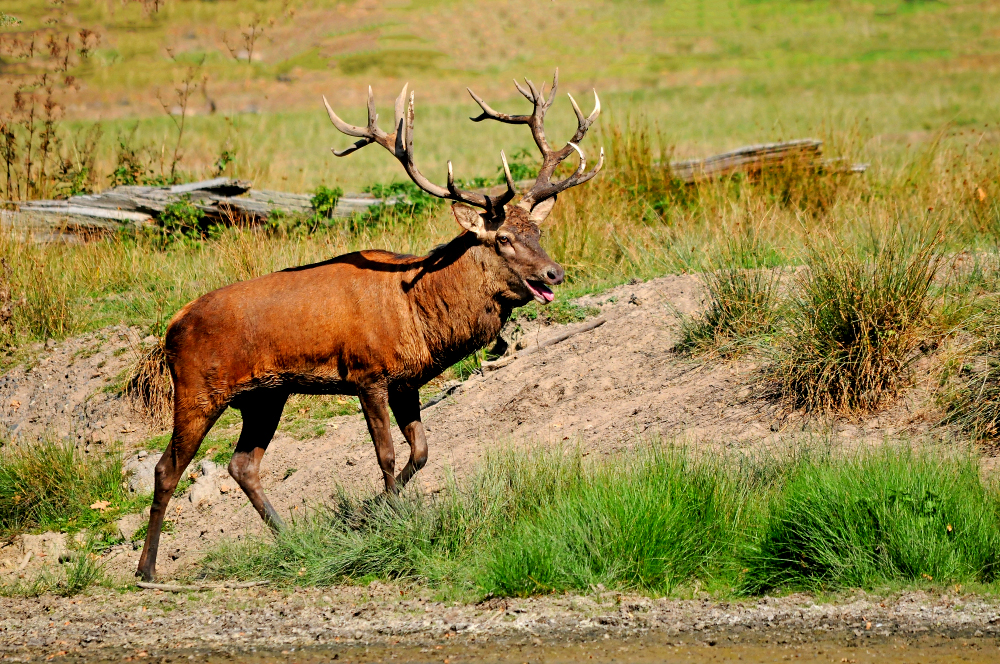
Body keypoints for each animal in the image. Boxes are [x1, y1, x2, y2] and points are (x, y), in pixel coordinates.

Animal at [133, 70, 600, 580]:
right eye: (503, 239)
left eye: (538, 231)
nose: (554, 273)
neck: (418, 312)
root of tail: (171, 327)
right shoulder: (367, 374)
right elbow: (387, 453)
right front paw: (388, 519)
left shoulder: (406, 381)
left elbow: (421, 451)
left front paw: (370, 510)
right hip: (198, 388)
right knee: (166, 468)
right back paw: (146, 568)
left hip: (265, 396)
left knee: (243, 466)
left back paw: (290, 537)